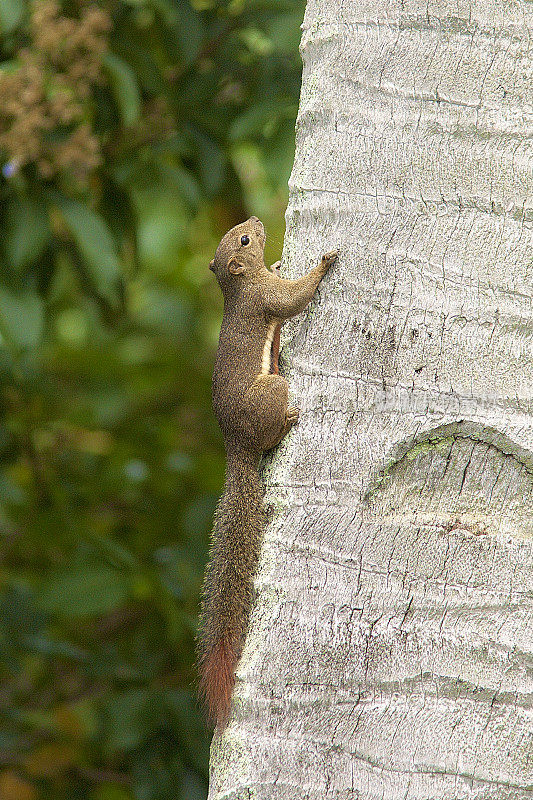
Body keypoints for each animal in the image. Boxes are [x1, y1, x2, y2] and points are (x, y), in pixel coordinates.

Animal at [195, 216, 336, 728]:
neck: (239, 285)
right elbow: (293, 299)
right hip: (271, 390)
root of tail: (236, 445)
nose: (256, 221)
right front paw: (323, 264)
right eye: (244, 240)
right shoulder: (266, 298)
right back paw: (290, 420)